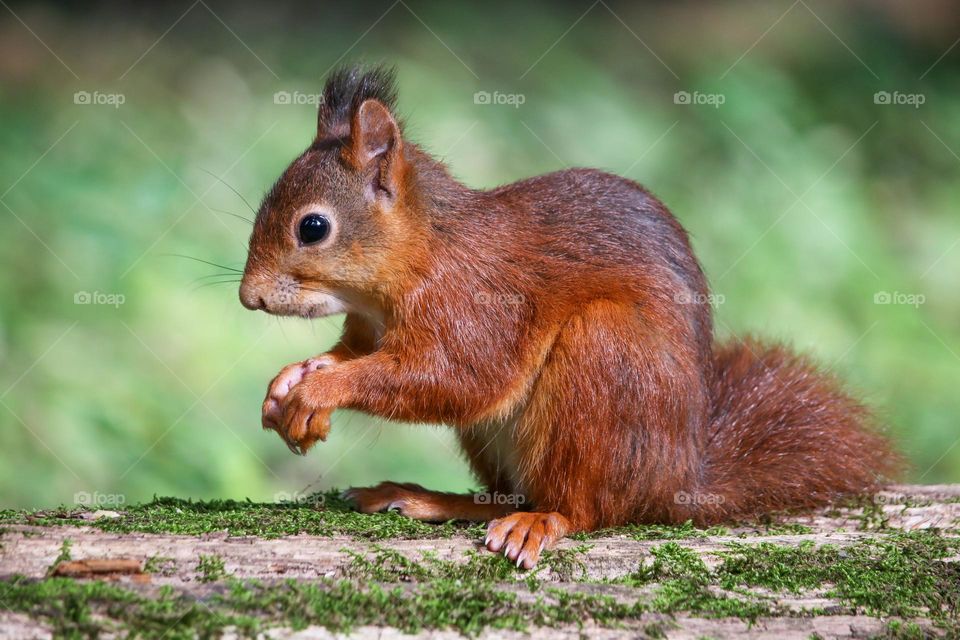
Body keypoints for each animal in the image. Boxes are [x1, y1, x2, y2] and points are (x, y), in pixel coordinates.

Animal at [240, 66, 900, 568]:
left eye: (313, 227)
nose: (249, 299)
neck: (419, 257)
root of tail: (677, 479)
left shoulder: (478, 307)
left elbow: (452, 378)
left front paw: (321, 390)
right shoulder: (367, 328)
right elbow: (352, 354)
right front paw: (288, 383)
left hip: (603, 354)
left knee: (585, 508)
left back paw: (539, 521)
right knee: (509, 494)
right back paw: (434, 500)